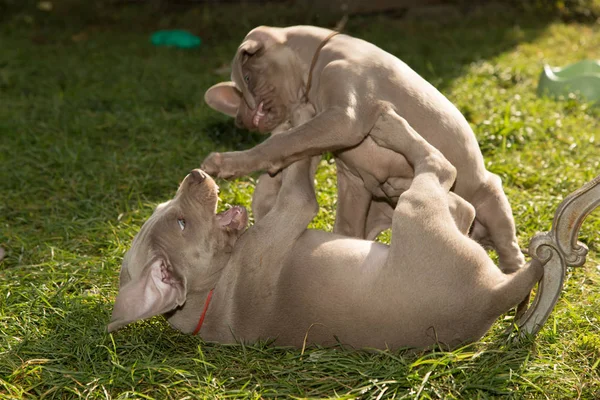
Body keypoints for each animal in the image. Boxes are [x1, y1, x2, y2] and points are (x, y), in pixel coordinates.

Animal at [108, 110, 544, 350]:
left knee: (462, 204)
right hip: (417, 211)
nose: (195, 174)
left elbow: (276, 180)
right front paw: (301, 122)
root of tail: (490, 296)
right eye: (181, 222)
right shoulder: (297, 205)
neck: (213, 290)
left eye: (168, 210)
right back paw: (390, 127)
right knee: (441, 170)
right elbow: (300, 168)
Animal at [203, 25, 524, 276]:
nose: (240, 120)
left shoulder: (346, 119)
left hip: (491, 196)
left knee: (508, 246)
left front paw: (228, 162)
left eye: (247, 80)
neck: (322, 56)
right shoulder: (352, 181)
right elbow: (342, 220)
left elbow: (283, 142)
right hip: (376, 207)